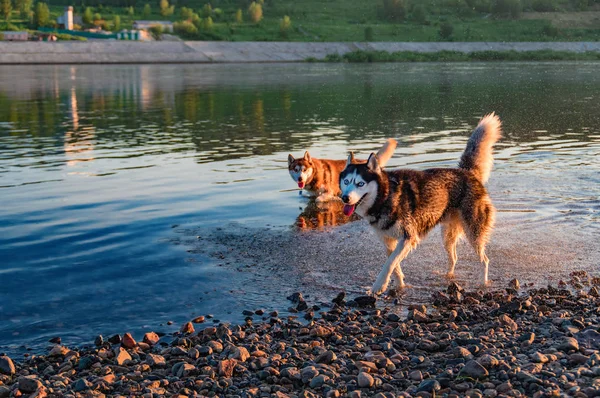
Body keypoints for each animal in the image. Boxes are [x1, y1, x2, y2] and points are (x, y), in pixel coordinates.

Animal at [340, 113, 500, 294]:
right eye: (346, 181)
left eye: (360, 184)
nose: (345, 198)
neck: (385, 198)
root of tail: (467, 172)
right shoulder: (388, 241)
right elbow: (394, 266)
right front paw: (400, 285)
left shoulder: (408, 237)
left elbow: (389, 264)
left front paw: (378, 286)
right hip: (447, 235)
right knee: (454, 258)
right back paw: (448, 276)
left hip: (474, 232)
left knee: (484, 260)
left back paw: (483, 283)